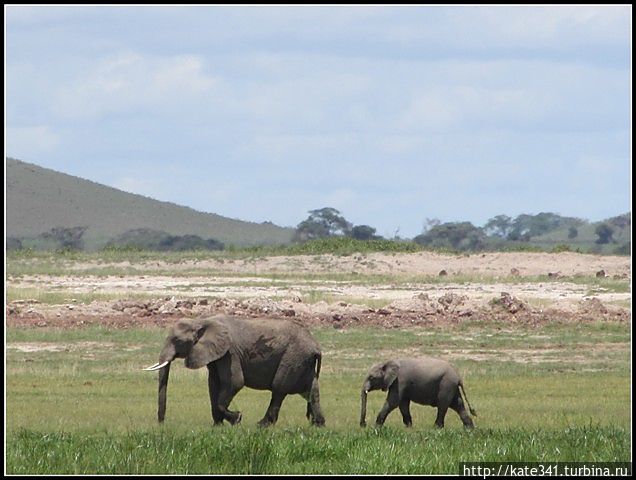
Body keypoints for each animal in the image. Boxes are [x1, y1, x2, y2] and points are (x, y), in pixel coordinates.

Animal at [142, 316, 326, 428]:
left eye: (177, 340)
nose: (161, 424)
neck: (202, 320)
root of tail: (316, 346)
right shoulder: (215, 354)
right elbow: (213, 384)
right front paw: (217, 426)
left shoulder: (230, 353)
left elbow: (234, 382)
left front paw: (237, 418)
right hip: (303, 361)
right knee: (311, 392)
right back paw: (318, 425)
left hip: (293, 358)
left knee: (279, 389)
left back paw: (261, 425)